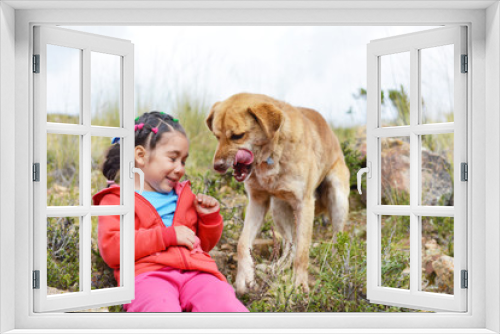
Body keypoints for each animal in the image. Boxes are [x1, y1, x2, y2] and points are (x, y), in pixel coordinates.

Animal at [205, 92, 350, 294]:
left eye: (237, 136)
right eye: (217, 136)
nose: (217, 166)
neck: (272, 154)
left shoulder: (305, 204)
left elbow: (303, 253)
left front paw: (299, 285)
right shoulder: (257, 202)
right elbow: (242, 243)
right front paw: (245, 277)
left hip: (337, 199)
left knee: (336, 238)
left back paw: (335, 265)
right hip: (278, 210)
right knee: (290, 245)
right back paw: (277, 267)